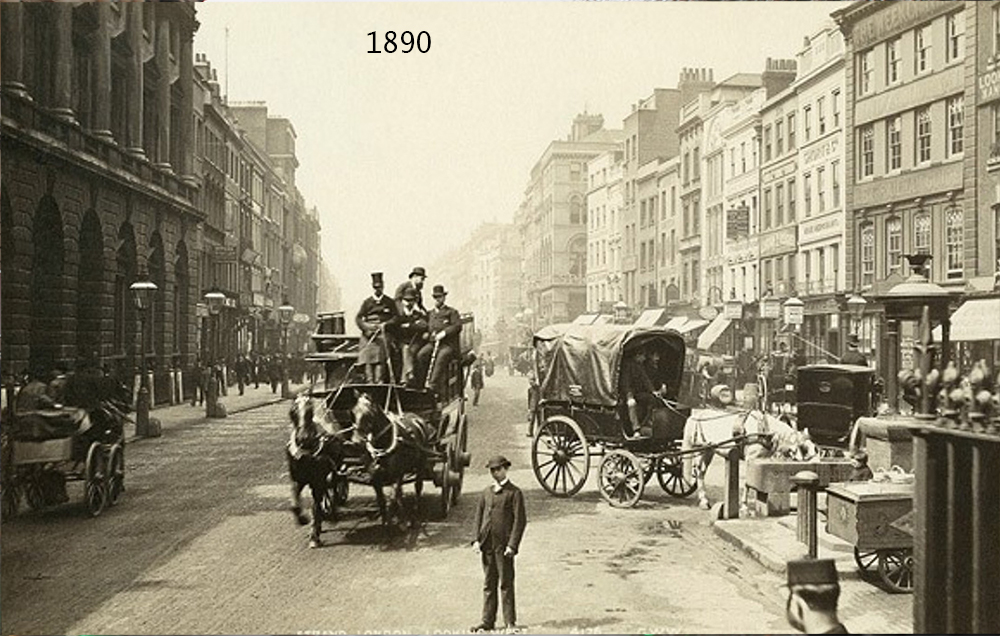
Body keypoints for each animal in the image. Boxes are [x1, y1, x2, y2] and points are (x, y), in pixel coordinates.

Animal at [286, 392, 344, 548]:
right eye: (293, 410)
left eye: (310, 410)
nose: (303, 437)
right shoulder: (297, 479)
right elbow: (294, 503)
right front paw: (302, 519)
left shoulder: (317, 481)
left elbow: (315, 508)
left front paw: (314, 536)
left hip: (334, 471)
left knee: (334, 486)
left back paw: (333, 512)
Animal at [350, 390, 432, 528]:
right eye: (353, 412)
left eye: (369, 414)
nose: (356, 442)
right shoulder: (375, 478)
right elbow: (382, 500)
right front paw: (386, 523)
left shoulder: (397, 475)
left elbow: (392, 499)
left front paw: (393, 522)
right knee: (400, 493)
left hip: (421, 462)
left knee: (417, 486)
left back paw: (415, 516)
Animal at [680, 408, 812, 512]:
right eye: (804, 448)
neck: (765, 431)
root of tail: (698, 415)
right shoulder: (750, 459)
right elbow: (747, 483)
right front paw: (744, 506)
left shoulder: (761, 460)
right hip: (700, 450)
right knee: (698, 472)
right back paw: (703, 501)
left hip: (709, 451)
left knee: (701, 472)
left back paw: (704, 501)